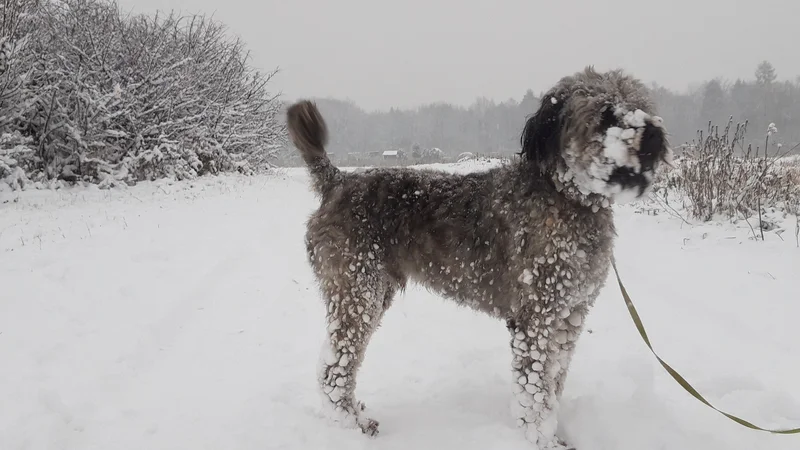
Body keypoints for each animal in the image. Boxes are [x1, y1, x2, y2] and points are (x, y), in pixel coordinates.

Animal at [284, 67, 672, 450]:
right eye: (606, 113)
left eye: (640, 105)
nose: (654, 135)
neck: (567, 196)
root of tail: (336, 183)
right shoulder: (536, 318)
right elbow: (536, 391)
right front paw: (541, 439)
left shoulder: (569, 315)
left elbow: (554, 381)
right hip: (358, 292)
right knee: (334, 369)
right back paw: (353, 424)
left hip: (374, 293)